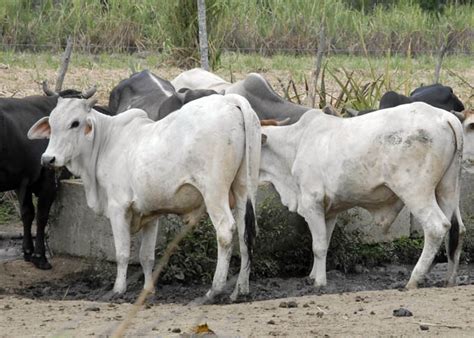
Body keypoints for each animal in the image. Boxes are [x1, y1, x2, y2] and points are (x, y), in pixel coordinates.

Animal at [0, 84, 97, 270]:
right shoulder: (48, 181)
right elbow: (42, 215)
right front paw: (40, 257)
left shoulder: (23, 182)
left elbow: (27, 213)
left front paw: (28, 252)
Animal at [27, 93, 262, 302]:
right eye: (52, 123)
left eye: (75, 123)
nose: (48, 159)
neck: (105, 142)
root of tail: (230, 100)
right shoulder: (151, 213)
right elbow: (146, 256)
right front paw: (149, 290)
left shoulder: (118, 208)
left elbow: (122, 253)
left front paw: (118, 289)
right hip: (244, 190)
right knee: (245, 235)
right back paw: (240, 290)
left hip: (214, 192)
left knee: (226, 231)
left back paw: (215, 290)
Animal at [260, 101, 462, 290]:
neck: (296, 144)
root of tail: (444, 117)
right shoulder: (329, 210)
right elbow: (324, 242)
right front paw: (312, 275)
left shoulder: (312, 202)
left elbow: (318, 246)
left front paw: (319, 282)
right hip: (447, 189)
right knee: (455, 229)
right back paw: (448, 279)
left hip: (415, 191)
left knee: (437, 227)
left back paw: (414, 279)